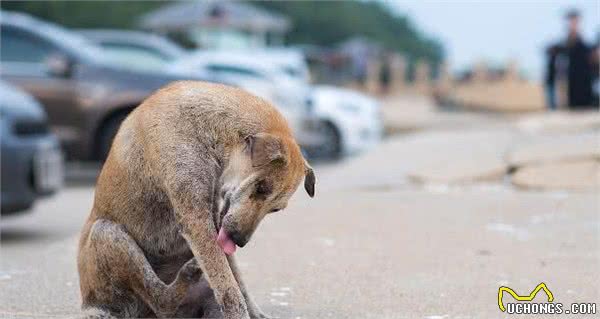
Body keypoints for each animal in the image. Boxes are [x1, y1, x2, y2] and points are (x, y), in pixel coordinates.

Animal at [77, 82, 316, 319]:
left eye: (275, 209)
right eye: (261, 187)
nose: (239, 240)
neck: (210, 130)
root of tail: (90, 303)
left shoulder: (215, 221)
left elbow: (236, 280)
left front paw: (254, 312)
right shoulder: (197, 222)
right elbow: (228, 287)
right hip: (107, 233)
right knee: (160, 300)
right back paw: (185, 277)